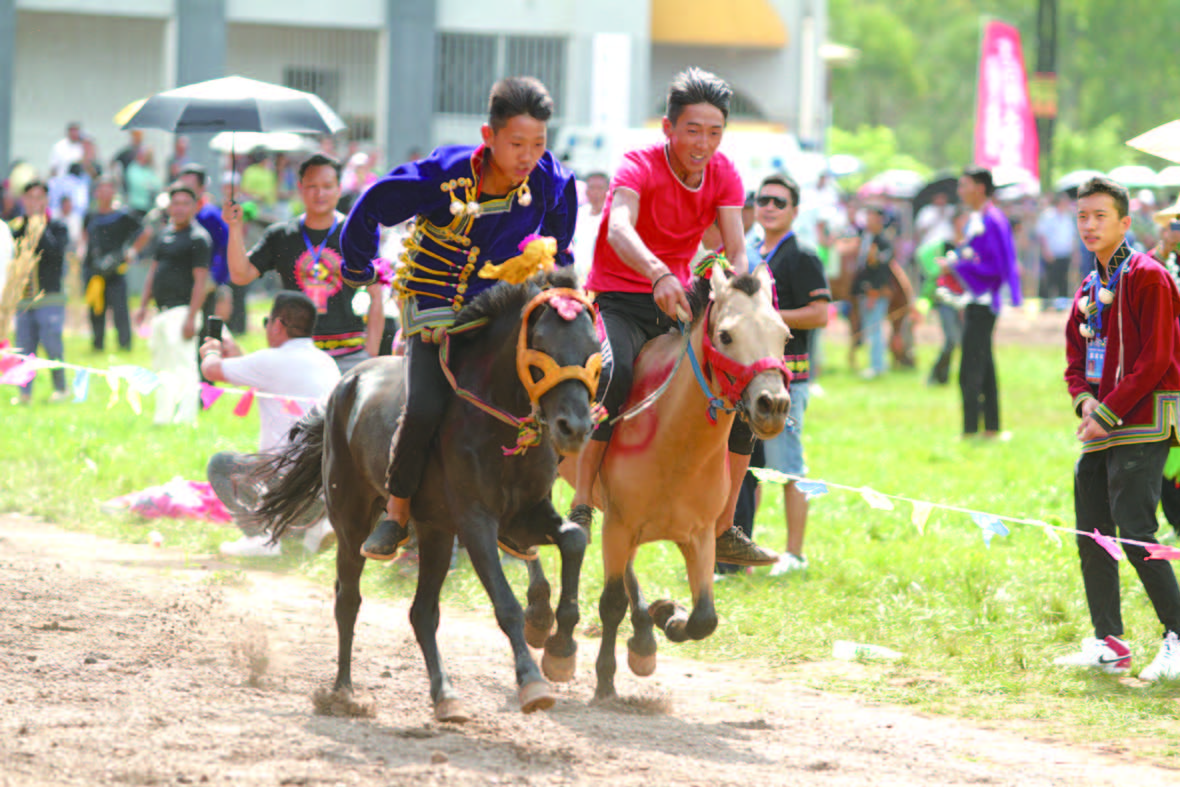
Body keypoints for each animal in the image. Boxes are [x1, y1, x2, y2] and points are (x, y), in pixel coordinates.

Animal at [248, 269, 599, 722]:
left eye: (593, 345)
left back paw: (445, 694)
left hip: (435, 531)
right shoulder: (475, 522)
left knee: (422, 613)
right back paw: (343, 691)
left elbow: (573, 540)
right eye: (540, 342)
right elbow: (505, 603)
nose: (574, 427)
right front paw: (532, 681)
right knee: (348, 599)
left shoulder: (525, 516)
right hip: (351, 519)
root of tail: (345, 384)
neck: (495, 420)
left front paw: (560, 647)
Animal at [573, 266, 792, 703]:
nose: (773, 405)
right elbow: (610, 603)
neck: (673, 439)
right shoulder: (618, 525)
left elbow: (704, 618)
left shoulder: (698, 534)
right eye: (726, 335)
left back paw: (644, 636)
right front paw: (604, 679)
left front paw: (668, 617)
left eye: (785, 335)